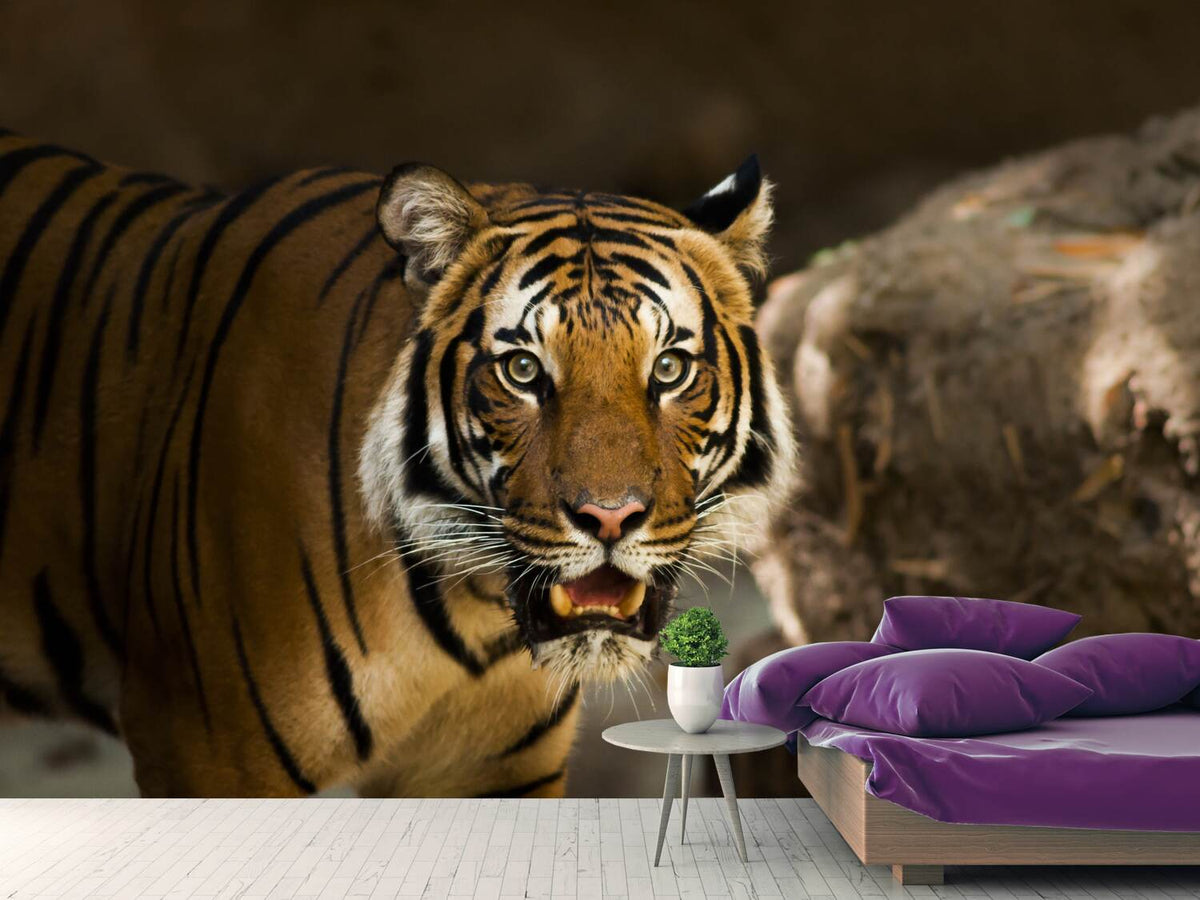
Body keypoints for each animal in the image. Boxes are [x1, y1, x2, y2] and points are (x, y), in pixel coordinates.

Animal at [0, 130, 796, 797]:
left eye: (668, 369)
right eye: (522, 370)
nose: (610, 517)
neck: (472, 618)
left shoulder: (493, 775)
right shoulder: (208, 752)